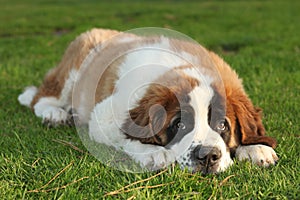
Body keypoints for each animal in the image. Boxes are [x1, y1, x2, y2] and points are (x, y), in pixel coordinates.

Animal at [17, 27, 278, 173]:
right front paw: (153, 153)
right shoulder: (104, 116)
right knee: (41, 97)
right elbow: (124, 136)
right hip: (74, 71)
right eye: (179, 125)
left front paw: (256, 147)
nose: (207, 157)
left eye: (223, 125)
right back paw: (55, 113)